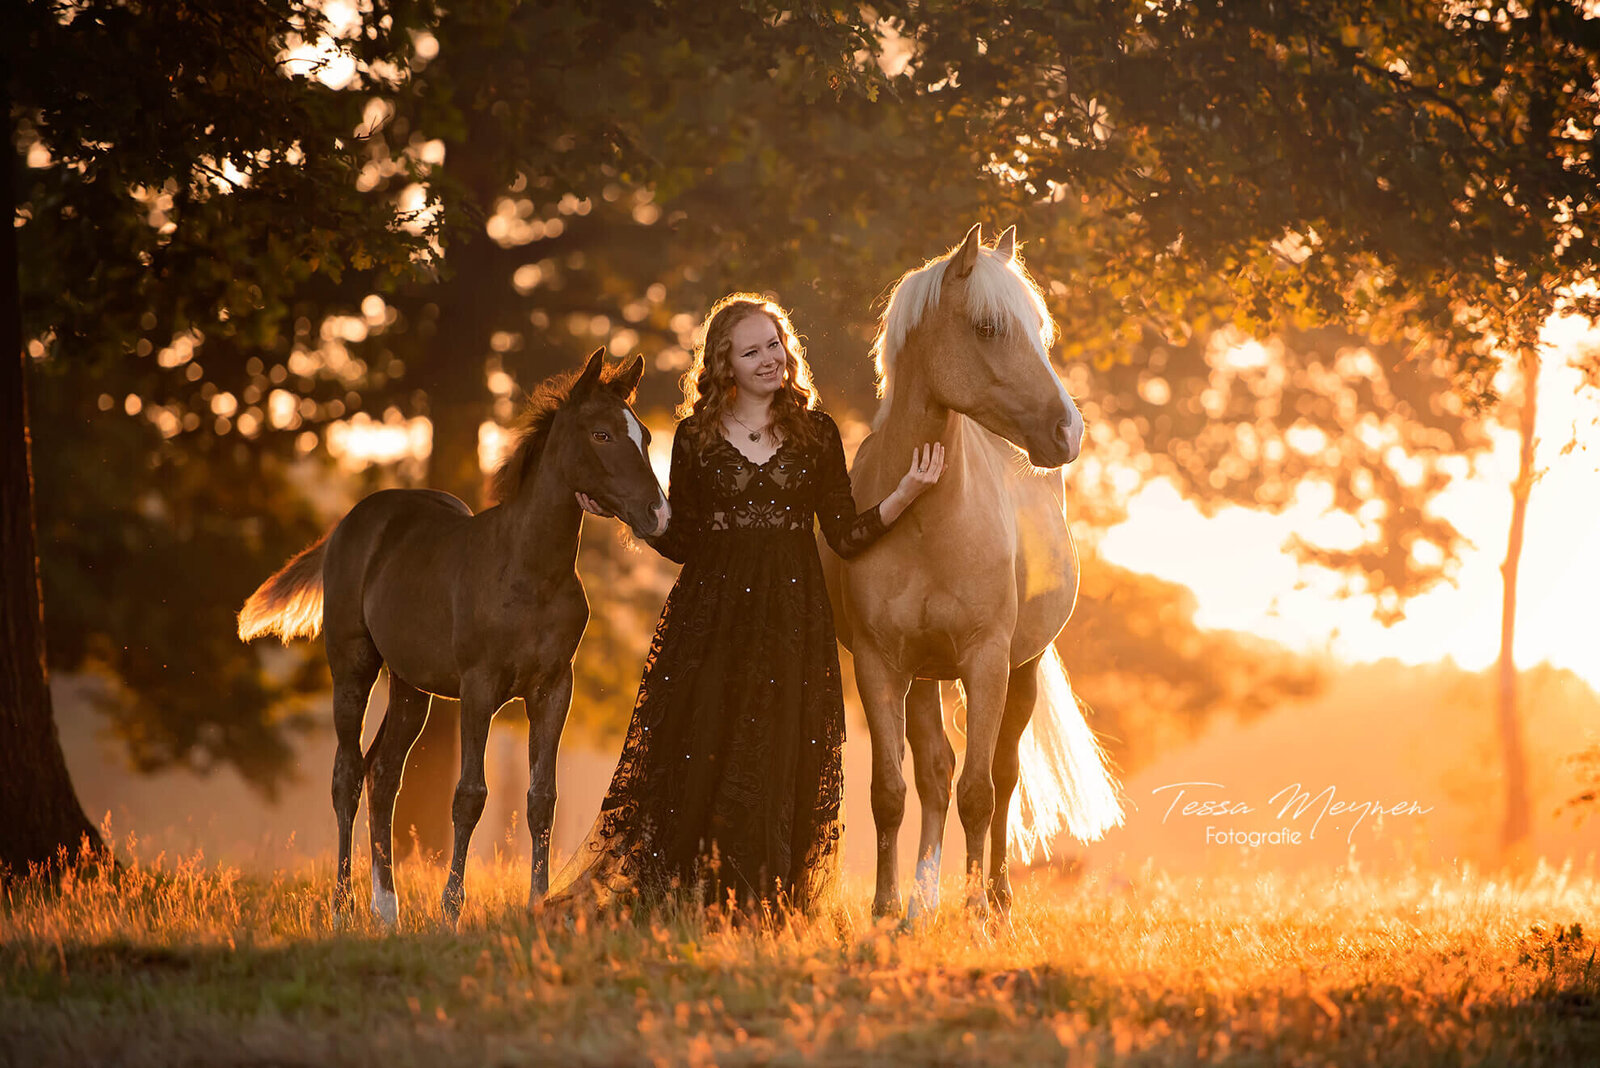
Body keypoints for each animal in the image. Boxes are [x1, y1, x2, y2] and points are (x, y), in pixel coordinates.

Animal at [233, 351, 665, 927]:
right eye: (601, 434)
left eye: (645, 435)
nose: (658, 514)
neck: (528, 570)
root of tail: (350, 523)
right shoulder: (479, 689)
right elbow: (469, 795)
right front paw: (451, 910)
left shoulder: (554, 689)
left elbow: (541, 799)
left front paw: (537, 904)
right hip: (353, 666)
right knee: (347, 774)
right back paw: (343, 908)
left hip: (411, 686)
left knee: (383, 774)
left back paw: (387, 910)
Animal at [832, 223, 1120, 920]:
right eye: (989, 327)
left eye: (1040, 327)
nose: (1067, 431)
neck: (927, 523)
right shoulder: (880, 664)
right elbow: (892, 791)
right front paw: (886, 911)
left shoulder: (986, 661)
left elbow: (981, 792)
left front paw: (979, 917)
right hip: (925, 676)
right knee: (935, 773)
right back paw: (920, 906)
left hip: (1021, 668)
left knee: (1003, 776)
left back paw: (996, 897)